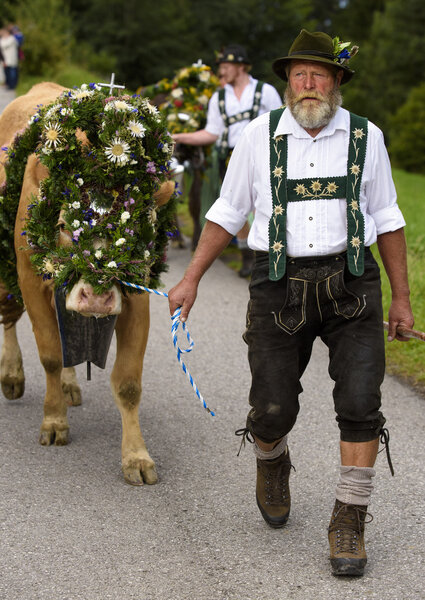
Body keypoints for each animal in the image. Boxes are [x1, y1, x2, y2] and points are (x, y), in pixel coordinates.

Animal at [0, 83, 176, 488]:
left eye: (134, 230)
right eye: (64, 225)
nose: (96, 298)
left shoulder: (136, 295)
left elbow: (128, 383)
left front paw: (136, 456)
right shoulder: (31, 282)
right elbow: (49, 356)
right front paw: (54, 422)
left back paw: (68, 386)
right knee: (8, 318)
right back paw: (12, 375)